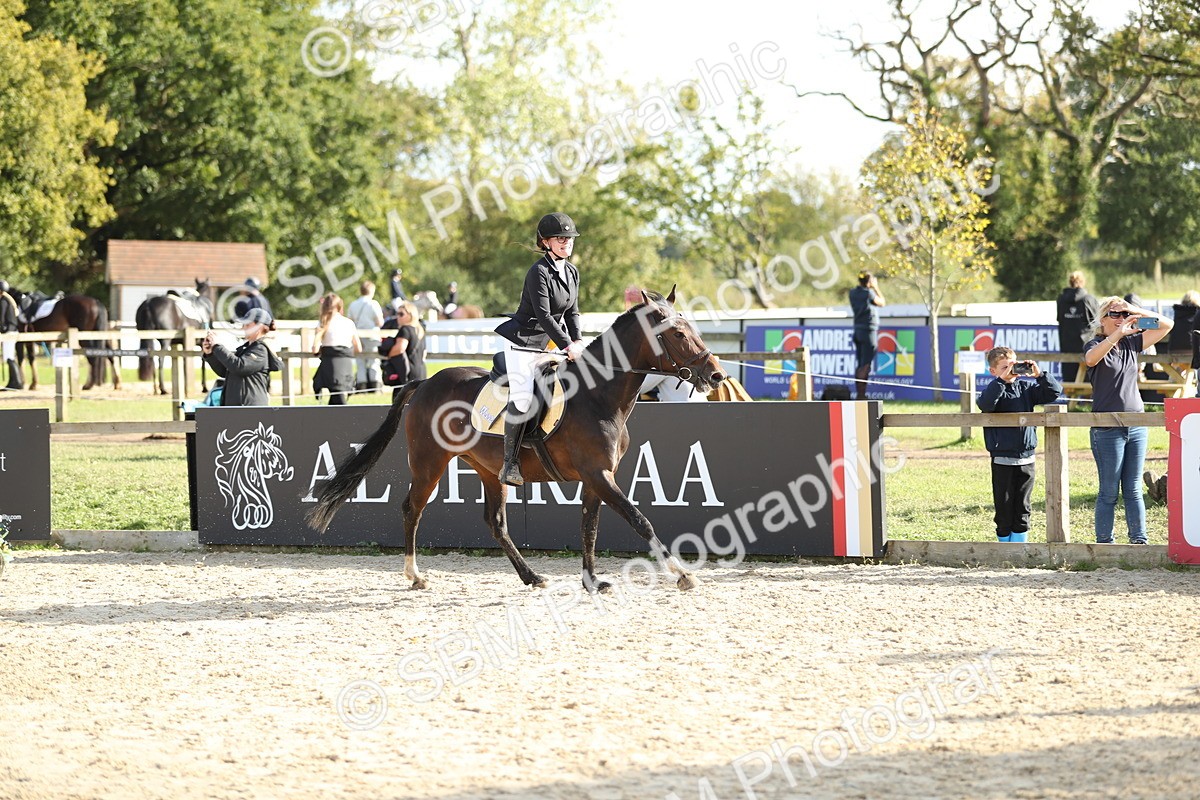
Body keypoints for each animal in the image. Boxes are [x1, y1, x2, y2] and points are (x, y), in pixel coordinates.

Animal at [307, 288, 727, 593]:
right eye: (677, 333)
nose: (716, 375)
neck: (598, 396)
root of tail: (425, 382)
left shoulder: (596, 478)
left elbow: (589, 528)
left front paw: (591, 581)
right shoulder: (598, 475)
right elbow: (640, 521)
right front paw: (683, 575)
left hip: (488, 469)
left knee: (496, 523)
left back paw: (531, 576)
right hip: (429, 462)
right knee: (413, 509)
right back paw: (415, 576)